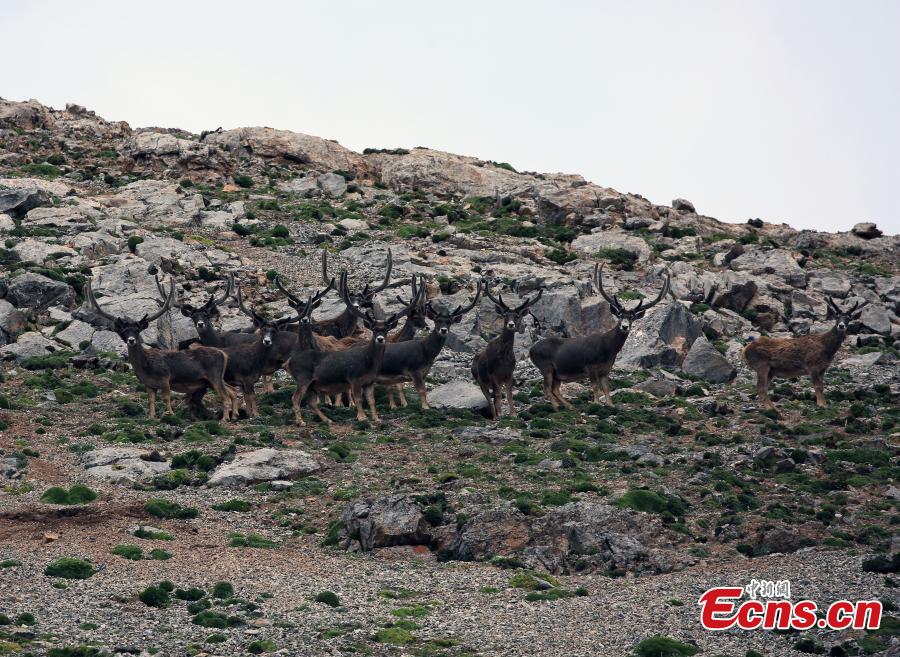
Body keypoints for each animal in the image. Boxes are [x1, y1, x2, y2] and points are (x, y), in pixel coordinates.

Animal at [85, 278, 237, 420]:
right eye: (124, 331)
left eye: (137, 330)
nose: (131, 340)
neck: (146, 366)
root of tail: (223, 354)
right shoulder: (148, 384)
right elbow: (151, 401)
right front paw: (151, 416)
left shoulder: (165, 378)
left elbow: (166, 398)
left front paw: (170, 414)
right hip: (211, 379)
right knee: (232, 391)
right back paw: (234, 415)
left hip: (214, 375)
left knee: (225, 394)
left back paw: (225, 418)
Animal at [286, 272, 415, 426]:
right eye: (373, 329)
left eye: (386, 329)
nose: (380, 339)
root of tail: (289, 363)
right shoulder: (354, 379)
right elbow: (356, 397)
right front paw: (360, 416)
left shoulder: (368, 382)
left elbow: (370, 399)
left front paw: (375, 418)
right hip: (304, 379)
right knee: (295, 397)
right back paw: (302, 421)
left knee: (311, 401)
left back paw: (327, 419)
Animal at [369, 280, 481, 411]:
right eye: (437, 321)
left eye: (449, 322)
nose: (443, 330)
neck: (426, 351)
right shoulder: (413, 370)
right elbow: (420, 391)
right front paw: (424, 408)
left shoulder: (424, 372)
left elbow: (424, 392)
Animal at [470, 283, 543, 419]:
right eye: (504, 315)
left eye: (517, 316)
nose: (511, 324)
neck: (503, 358)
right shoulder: (493, 374)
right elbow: (498, 396)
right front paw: (500, 414)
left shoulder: (509, 374)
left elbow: (509, 395)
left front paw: (513, 414)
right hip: (480, 380)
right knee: (490, 399)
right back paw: (494, 416)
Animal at [529, 264, 670, 408]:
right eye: (619, 315)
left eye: (632, 318)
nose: (625, 327)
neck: (608, 349)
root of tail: (531, 350)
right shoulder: (590, 365)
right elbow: (596, 387)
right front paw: (596, 404)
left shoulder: (606, 370)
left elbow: (606, 389)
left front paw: (610, 405)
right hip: (546, 366)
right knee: (547, 389)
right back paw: (557, 407)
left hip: (557, 372)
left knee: (555, 389)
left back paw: (569, 406)